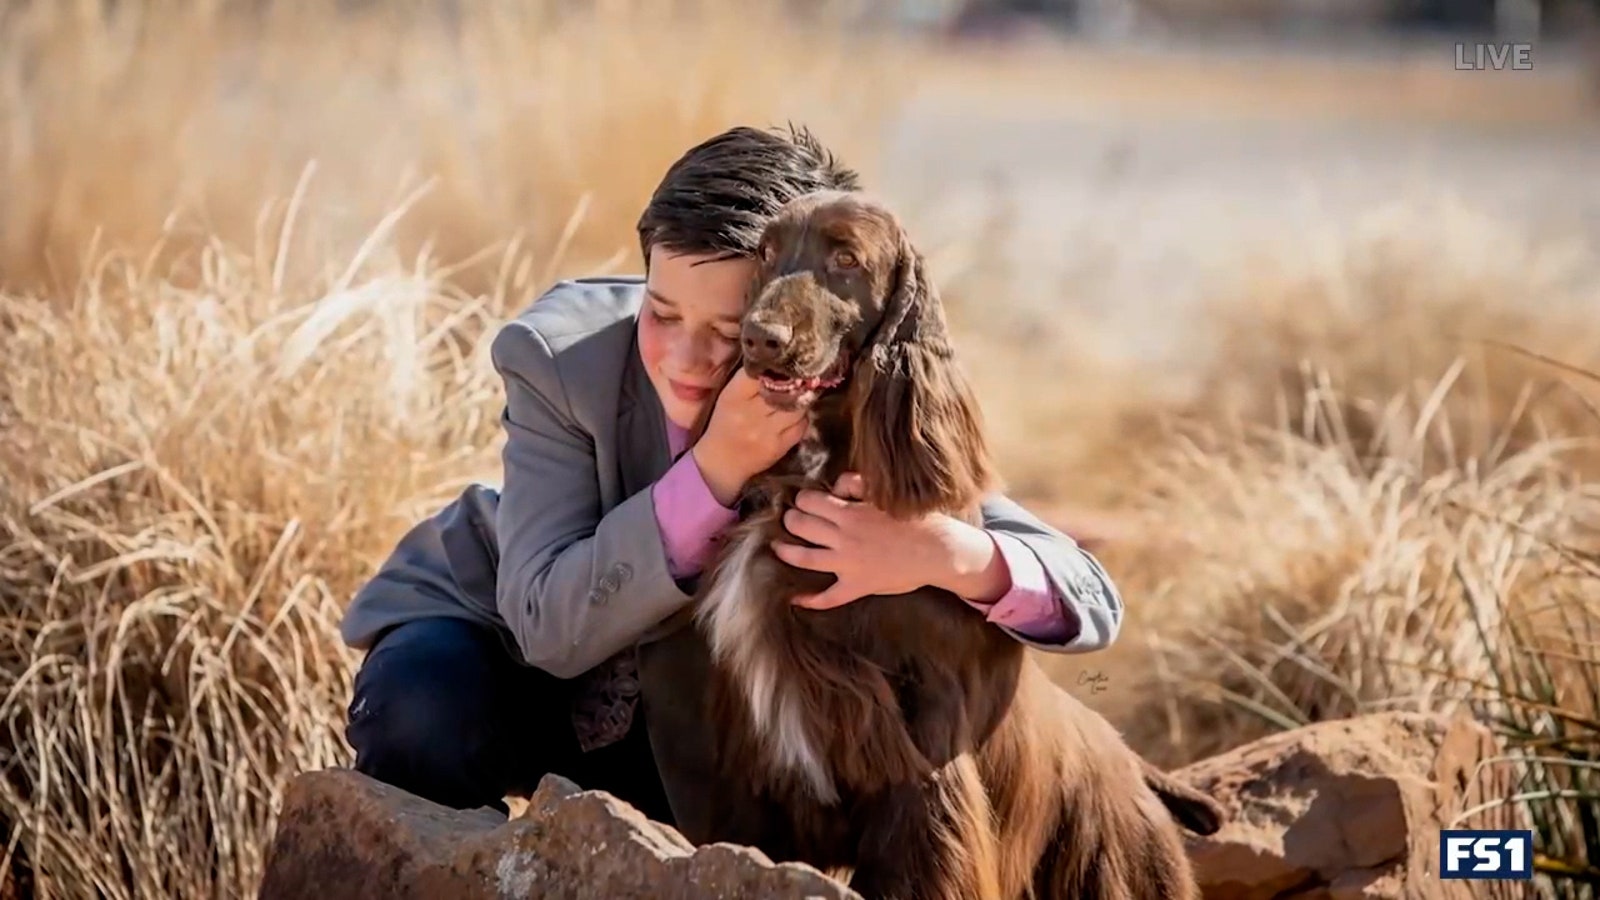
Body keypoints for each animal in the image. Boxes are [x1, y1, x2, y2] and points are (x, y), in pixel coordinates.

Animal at [678, 190, 1222, 896]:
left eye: (846, 259)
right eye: (766, 252)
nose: (759, 337)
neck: (821, 467)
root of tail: (1134, 762)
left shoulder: (924, 764)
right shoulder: (753, 764)